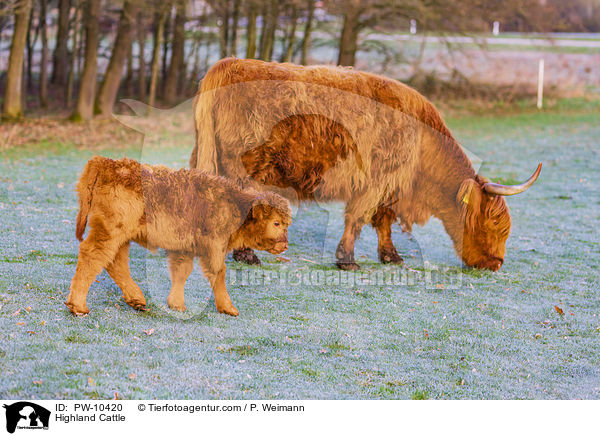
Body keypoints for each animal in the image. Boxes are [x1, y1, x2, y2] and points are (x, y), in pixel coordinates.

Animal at [65, 157, 290, 316]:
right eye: (276, 223)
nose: (285, 245)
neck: (234, 206)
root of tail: (107, 163)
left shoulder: (184, 248)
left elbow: (182, 271)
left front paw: (177, 304)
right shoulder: (214, 248)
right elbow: (219, 274)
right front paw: (228, 308)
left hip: (121, 238)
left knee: (115, 263)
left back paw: (137, 300)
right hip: (110, 233)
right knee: (92, 256)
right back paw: (78, 306)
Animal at [190, 58, 540, 270]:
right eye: (492, 223)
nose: (496, 263)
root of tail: (229, 64)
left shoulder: (389, 187)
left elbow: (383, 221)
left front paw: (391, 256)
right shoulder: (377, 180)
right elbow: (358, 218)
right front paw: (347, 259)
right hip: (243, 169)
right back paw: (246, 255)